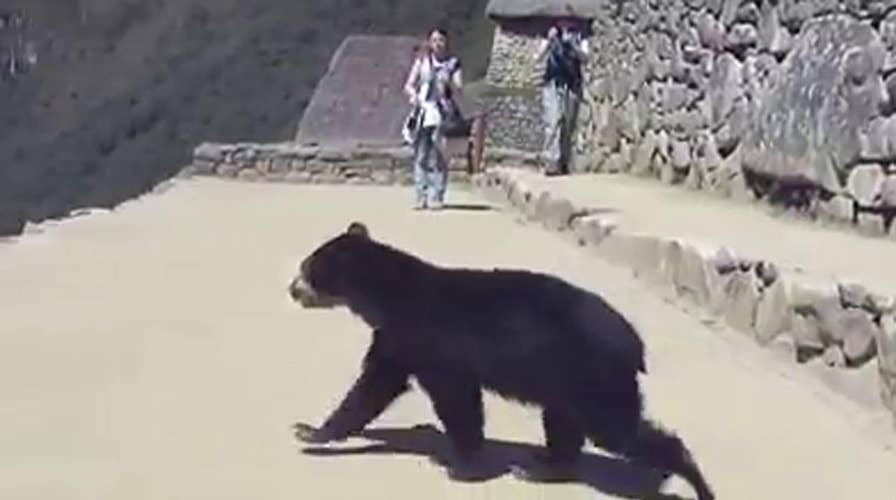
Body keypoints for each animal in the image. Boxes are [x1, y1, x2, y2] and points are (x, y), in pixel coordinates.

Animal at [288, 223, 712, 500]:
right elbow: (375, 385)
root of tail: (634, 343)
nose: (292, 289)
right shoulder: (399, 339)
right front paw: (311, 430)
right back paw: (542, 465)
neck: (387, 296)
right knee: (564, 423)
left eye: (307, 267)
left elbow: (451, 397)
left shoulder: (429, 337)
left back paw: (692, 480)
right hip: (564, 381)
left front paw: (463, 463)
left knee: (617, 430)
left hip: (593, 377)